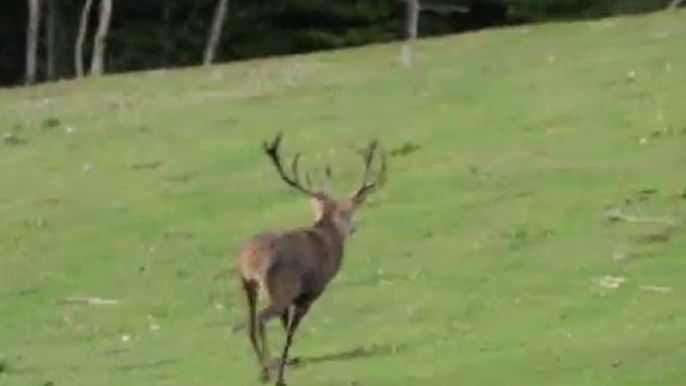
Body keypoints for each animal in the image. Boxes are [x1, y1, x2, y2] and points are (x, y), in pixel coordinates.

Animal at [236, 131, 388, 384]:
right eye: (348, 212)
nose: (354, 227)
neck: (327, 238)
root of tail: (250, 262)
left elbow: (285, 326)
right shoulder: (308, 293)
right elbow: (290, 332)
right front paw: (283, 370)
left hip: (247, 286)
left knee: (250, 323)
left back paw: (263, 370)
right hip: (279, 289)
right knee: (260, 320)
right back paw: (269, 370)